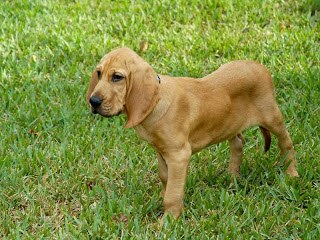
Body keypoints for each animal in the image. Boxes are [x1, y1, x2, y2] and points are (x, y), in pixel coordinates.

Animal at [86, 47, 298, 222]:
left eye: (117, 77)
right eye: (99, 73)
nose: (93, 101)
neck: (156, 103)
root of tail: (260, 66)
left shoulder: (179, 155)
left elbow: (173, 194)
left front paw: (167, 221)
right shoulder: (161, 151)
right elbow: (165, 177)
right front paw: (160, 198)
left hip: (271, 116)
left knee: (286, 142)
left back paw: (291, 174)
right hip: (230, 123)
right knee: (238, 141)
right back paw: (232, 177)